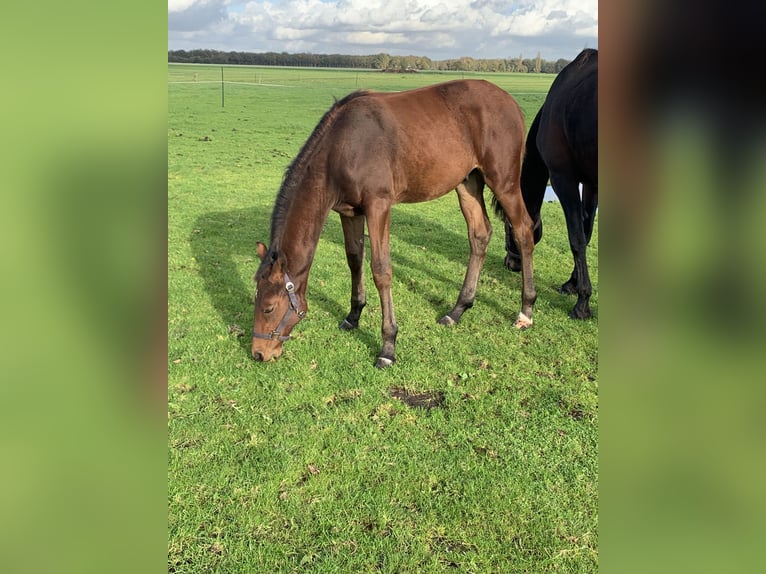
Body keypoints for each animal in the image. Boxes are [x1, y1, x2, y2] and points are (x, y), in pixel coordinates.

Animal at [255, 79, 536, 368]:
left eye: (268, 307)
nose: (259, 353)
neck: (343, 145)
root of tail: (511, 103)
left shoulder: (378, 206)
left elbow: (381, 270)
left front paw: (388, 346)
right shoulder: (349, 211)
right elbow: (354, 259)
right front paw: (353, 316)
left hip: (504, 182)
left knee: (524, 230)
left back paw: (525, 310)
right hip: (468, 182)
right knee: (480, 234)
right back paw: (457, 310)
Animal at [500, 49, 604, 320]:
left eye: (507, 225)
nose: (510, 263)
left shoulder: (563, 179)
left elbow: (577, 238)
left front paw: (582, 302)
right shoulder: (591, 184)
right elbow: (587, 232)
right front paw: (572, 284)